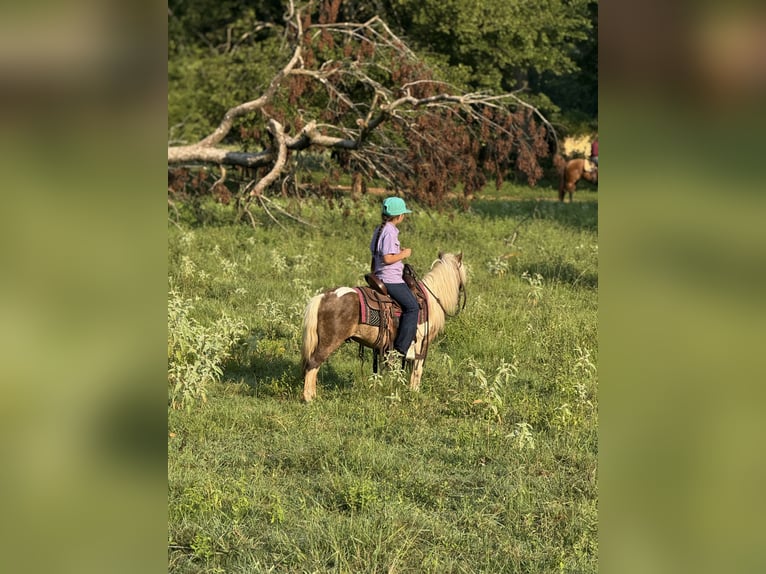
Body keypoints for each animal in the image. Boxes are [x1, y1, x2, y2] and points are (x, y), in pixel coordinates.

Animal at [300, 252, 467, 402]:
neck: (430, 300)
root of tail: (323, 297)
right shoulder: (422, 343)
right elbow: (417, 369)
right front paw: (414, 393)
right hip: (330, 341)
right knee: (313, 363)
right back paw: (309, 398)